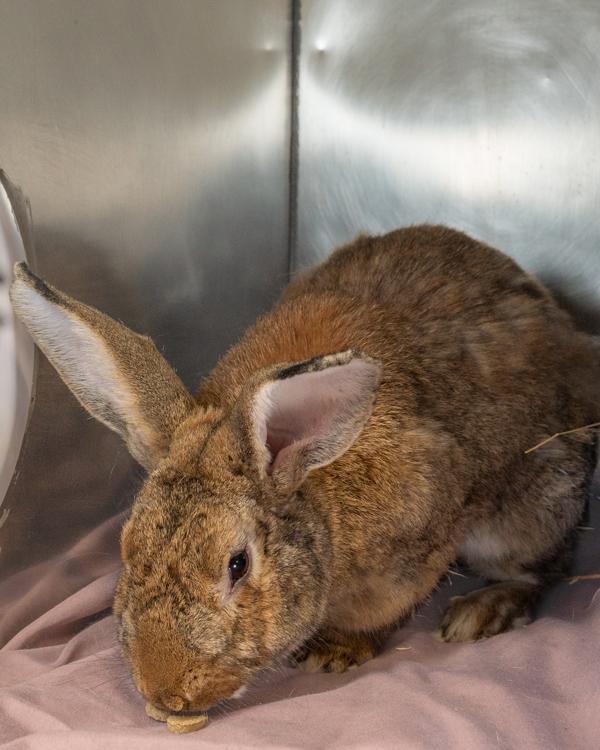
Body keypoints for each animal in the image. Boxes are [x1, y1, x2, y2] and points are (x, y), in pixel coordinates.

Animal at [10, 224, 600, 713]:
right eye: (126, 547)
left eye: (238, 565)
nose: (166, 694)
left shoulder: (424, 540)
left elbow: (384, 612)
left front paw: (335, 650)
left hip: (529, 513)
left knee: (542, 568)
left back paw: (481, 612)